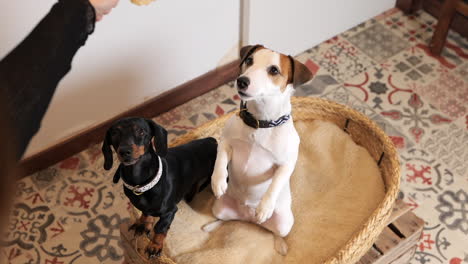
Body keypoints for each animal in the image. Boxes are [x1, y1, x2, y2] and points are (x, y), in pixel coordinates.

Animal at [101, 117, 217, 258]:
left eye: (141, 131)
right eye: (114, 133)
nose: (124, 152)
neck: (140, 183)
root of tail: (212, 140)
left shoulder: (170, 211)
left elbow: (160, 228)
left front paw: (155, 246)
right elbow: (145, 213)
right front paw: (142, 224)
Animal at [204, 44, 310, 254]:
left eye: (274, 70)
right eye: (249, 60)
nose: (242, 81)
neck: (260, 122)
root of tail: (248, 218)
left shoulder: (286, 165)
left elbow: (276, 183)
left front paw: (265, 207)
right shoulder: (226, 143)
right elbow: (220, 160)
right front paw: (218, 181)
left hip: (285, 224)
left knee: (276, 232)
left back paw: (279, 242)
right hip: (219, 208)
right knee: (226, 220)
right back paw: (212, 226)